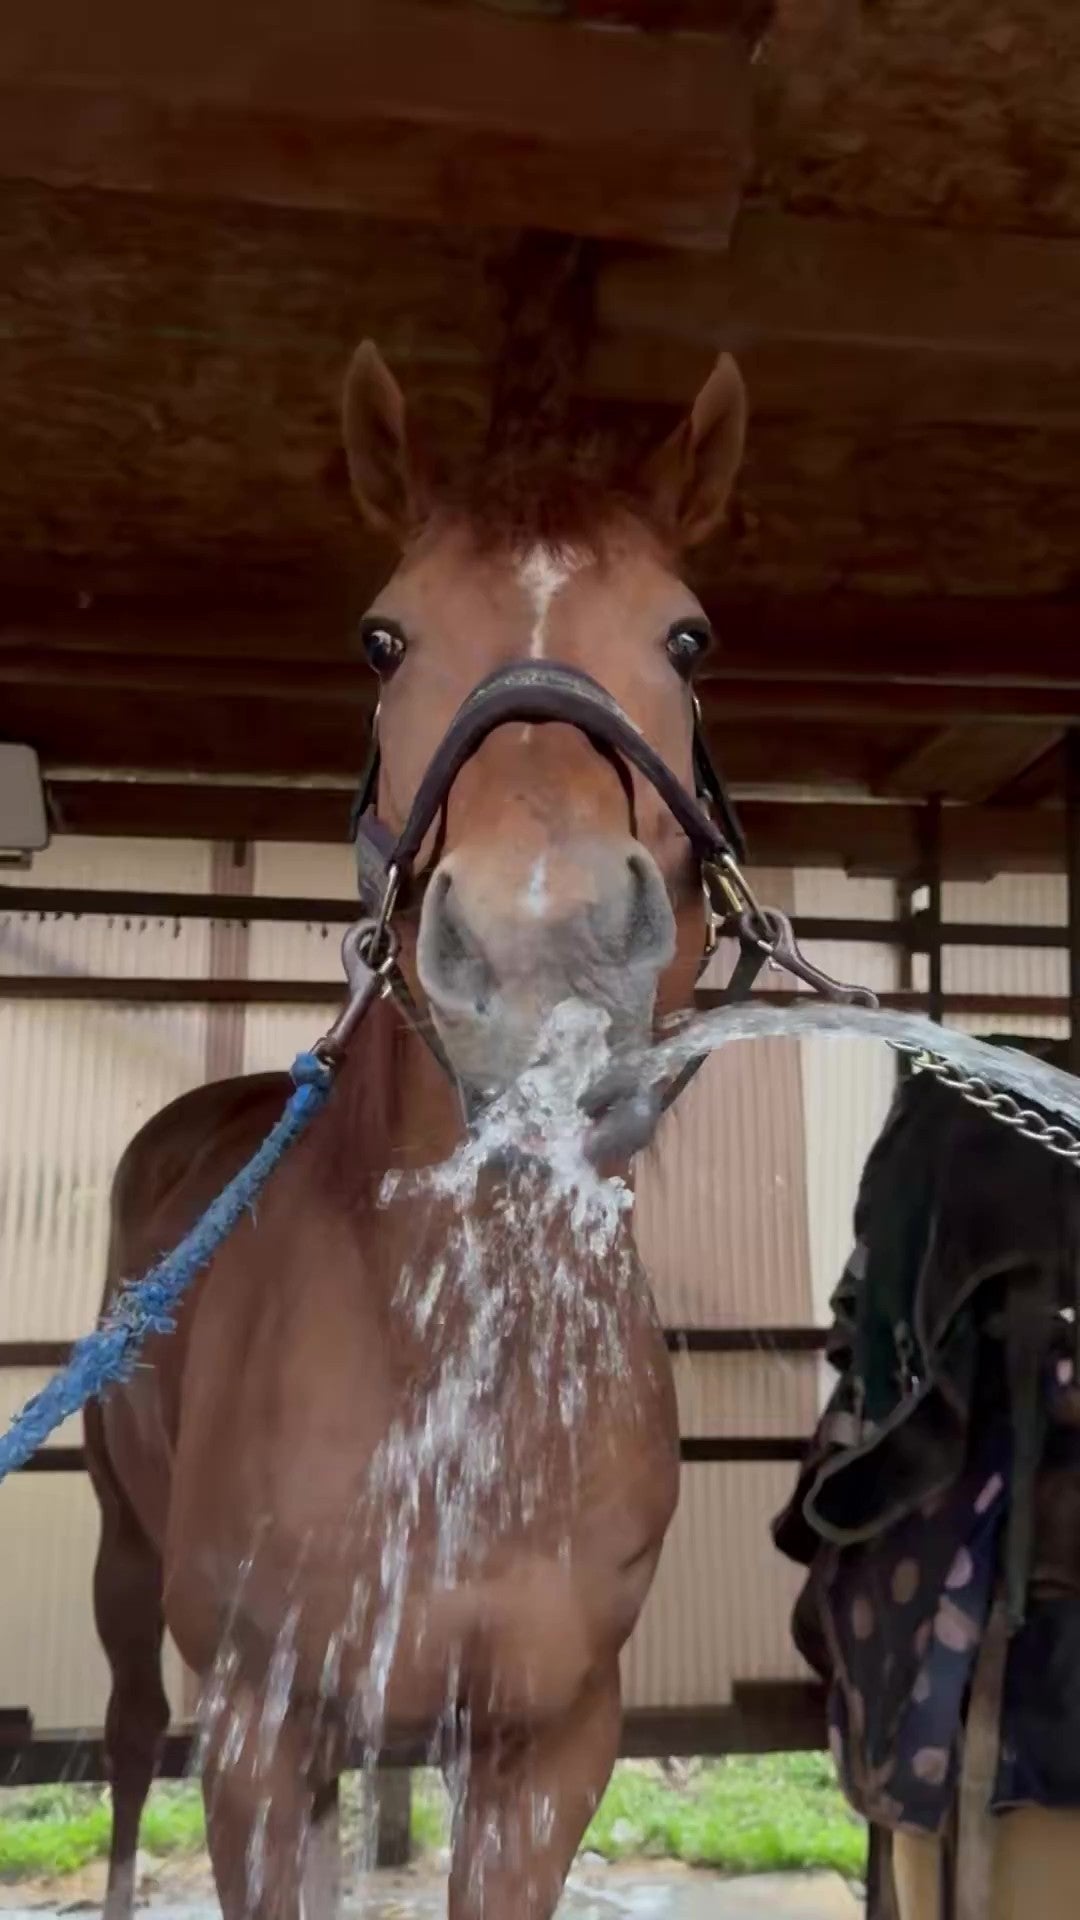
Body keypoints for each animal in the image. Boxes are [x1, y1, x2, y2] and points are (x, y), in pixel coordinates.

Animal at [85, 338, 748, 1920]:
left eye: (688, 638)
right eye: (384, 640)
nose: (541, 946)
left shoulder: (547, 1747)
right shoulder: (261, 1735)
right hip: (127, 1563)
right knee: (131, 1737)